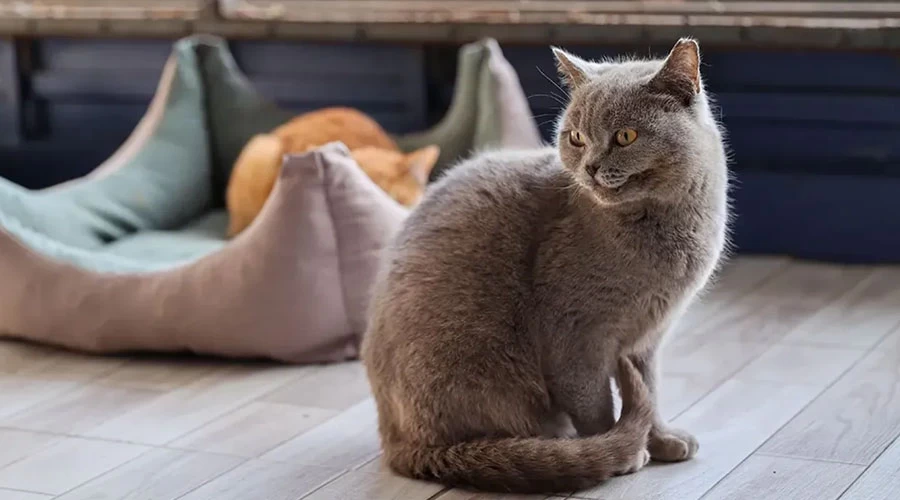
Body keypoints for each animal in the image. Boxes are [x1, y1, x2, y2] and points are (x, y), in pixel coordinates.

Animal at [362, 38, 728, 492]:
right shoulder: (575, 334)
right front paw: (622, 449)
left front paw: (661, 439)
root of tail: (399, 443)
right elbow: (595, 403)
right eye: (577, 137)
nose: (590, 166)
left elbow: (650, 389)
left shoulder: (648, 338)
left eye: (625, 136)